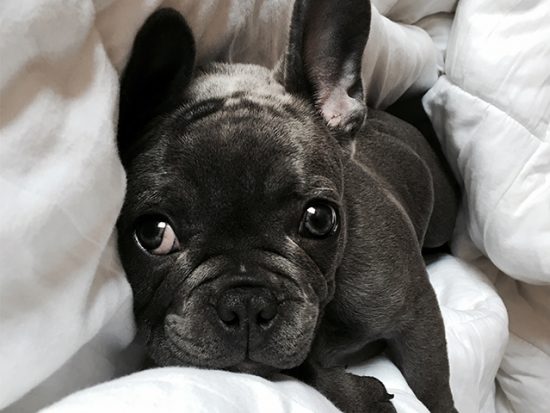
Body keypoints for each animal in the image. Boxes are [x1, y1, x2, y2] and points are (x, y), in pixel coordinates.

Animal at [117, 1, 462, 410]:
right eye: (154, 234)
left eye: (319, 219)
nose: (245, 302)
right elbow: (305, 368)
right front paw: (360, 395)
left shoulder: (416, 314)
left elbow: (430, 387)